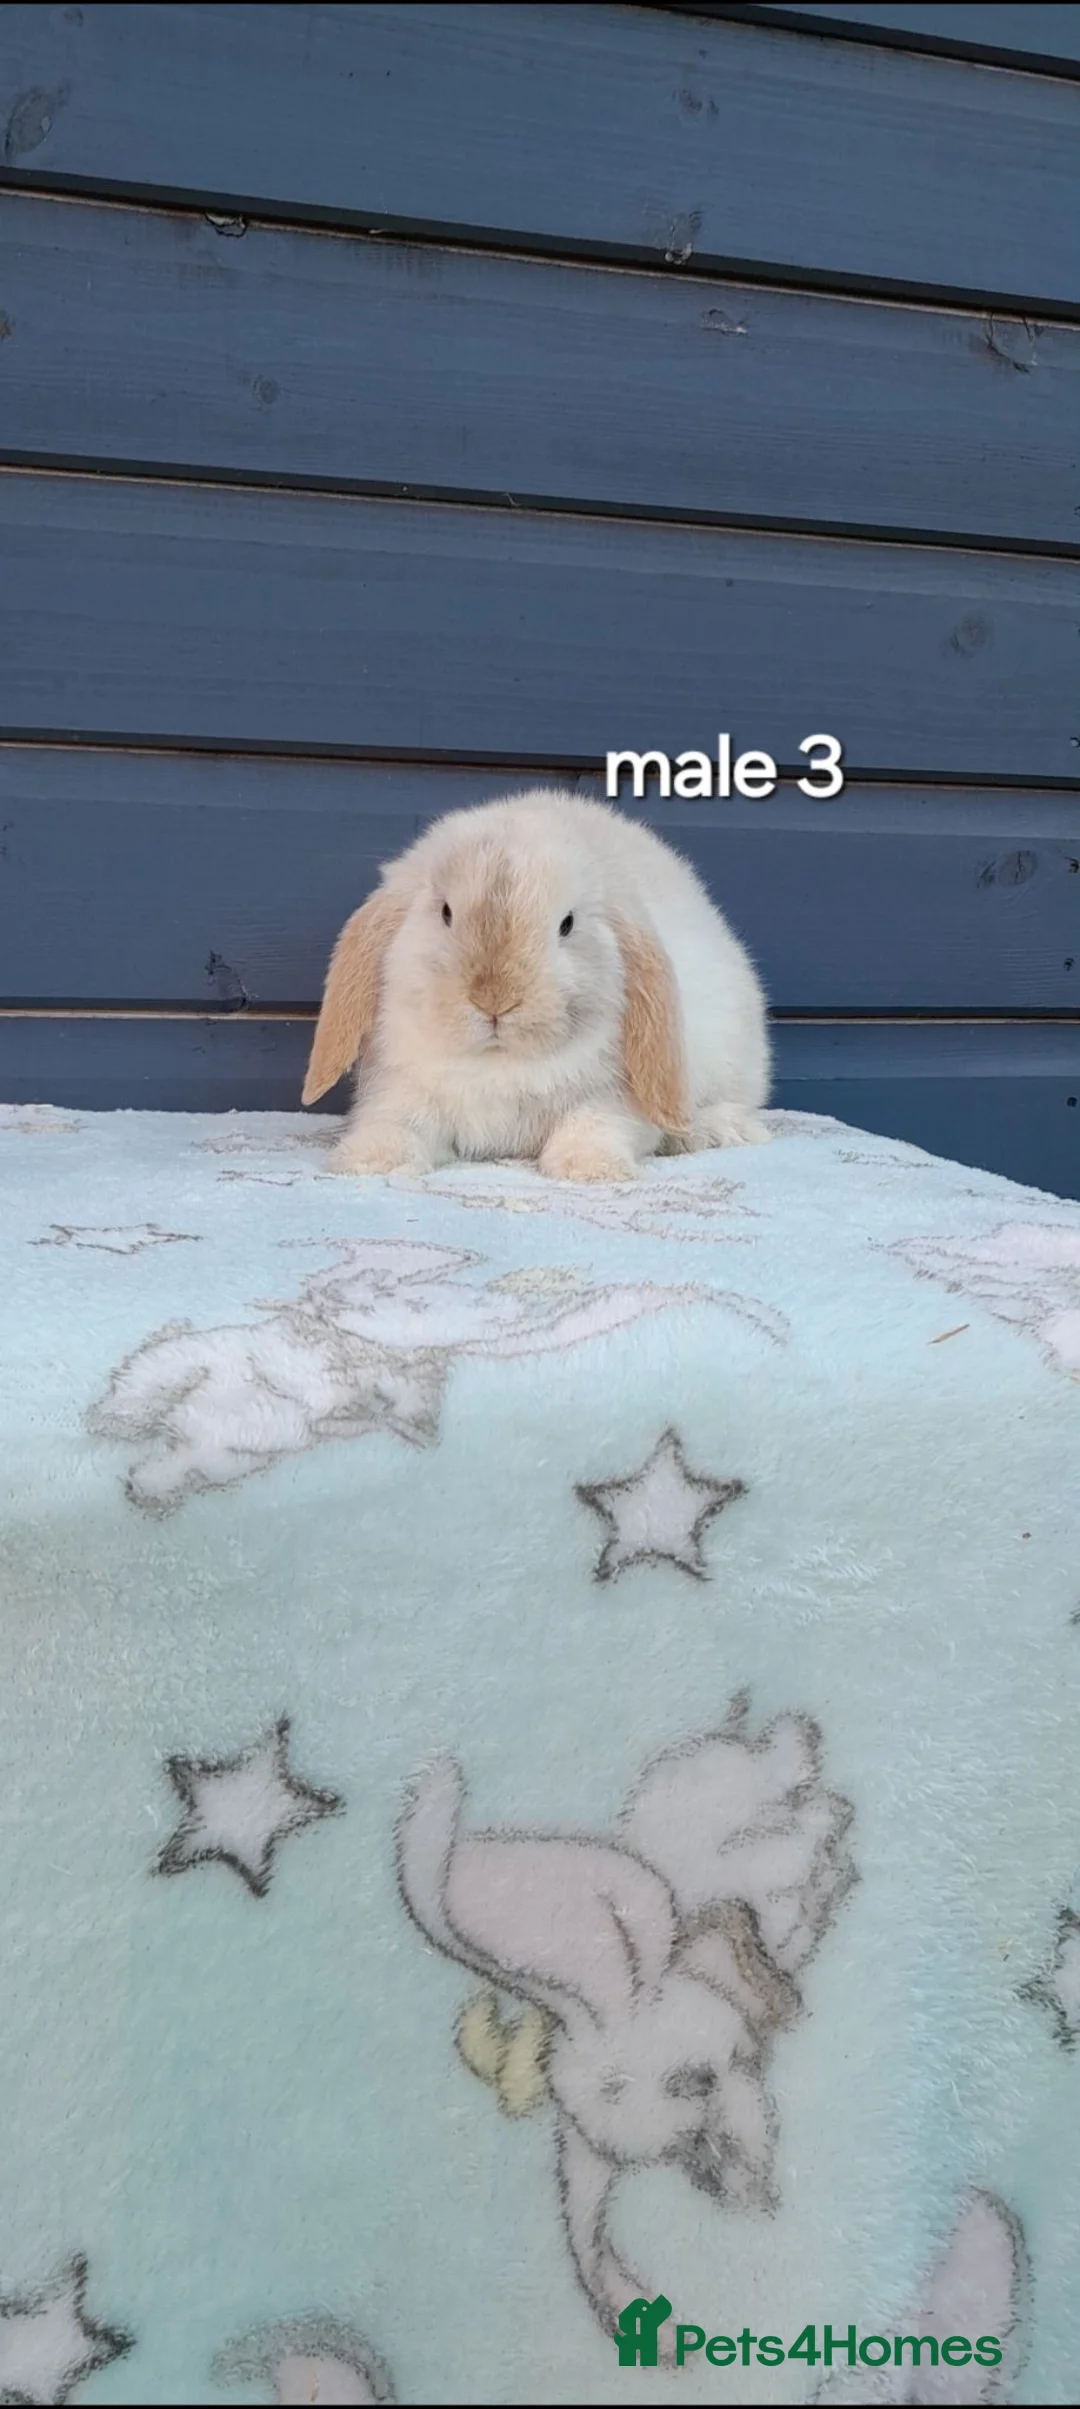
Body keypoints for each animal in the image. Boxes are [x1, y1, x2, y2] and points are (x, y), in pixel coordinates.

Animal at [301, 789, 770, 1182]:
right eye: (446, 913)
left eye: (567, 924)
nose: (494, 999)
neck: (500, 1063)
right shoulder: (400, 1089)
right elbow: (395, 1122)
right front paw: (371, 1162)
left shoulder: (614, 1097)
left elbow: (595, 1124)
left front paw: (592, 1169)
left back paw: (711, 1131)